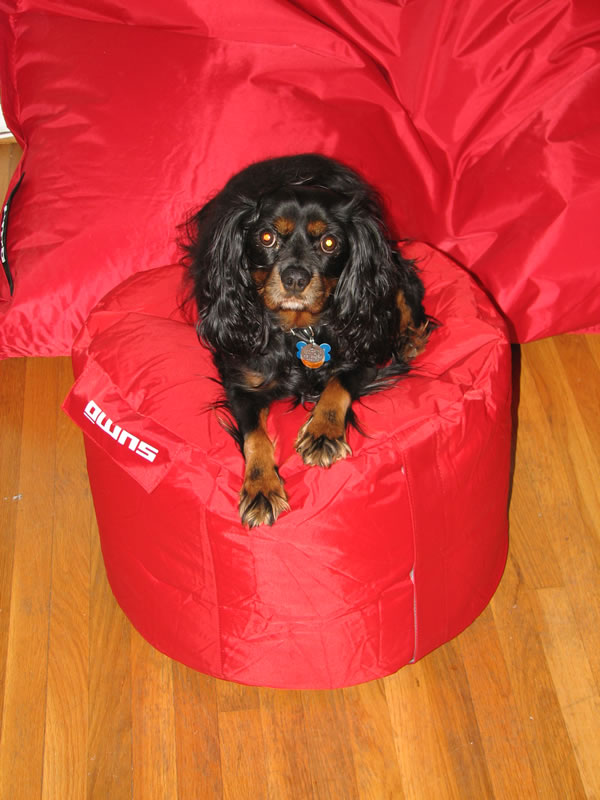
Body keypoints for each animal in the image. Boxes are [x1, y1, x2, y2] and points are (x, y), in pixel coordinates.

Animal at [184, 154, 432, 527]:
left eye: (329, 243)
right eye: (267, 237)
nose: (296, 278)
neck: (299, 331)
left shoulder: (362, 355)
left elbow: (337, 386)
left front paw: (322, 434)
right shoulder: (240, 383)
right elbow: (255, 436)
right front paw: (261, 487)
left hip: (387, 260)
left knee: (405, 286)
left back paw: (409, 338)